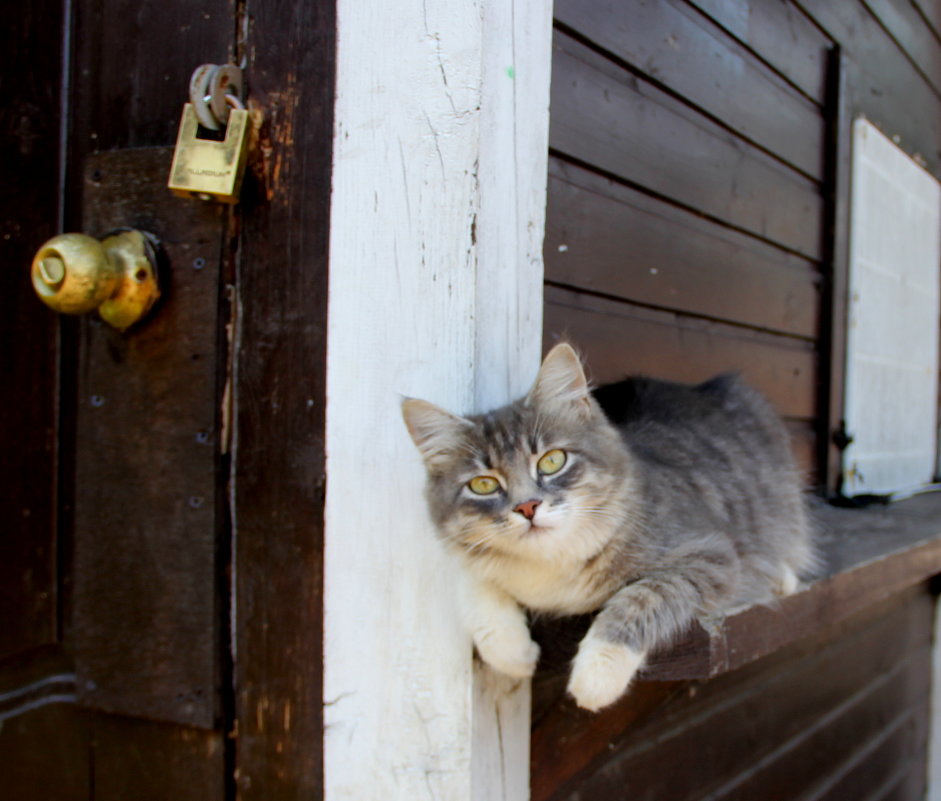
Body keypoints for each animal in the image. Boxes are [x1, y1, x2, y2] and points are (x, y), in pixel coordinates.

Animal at [400, 340, 812, 708]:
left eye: (552, 461)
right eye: (483, 485)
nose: (528, 507)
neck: (552, 568)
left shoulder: (710, 555)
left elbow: (640, 599)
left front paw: (595, 677)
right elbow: (473, 583)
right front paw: (515, 654)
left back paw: (782, 578)